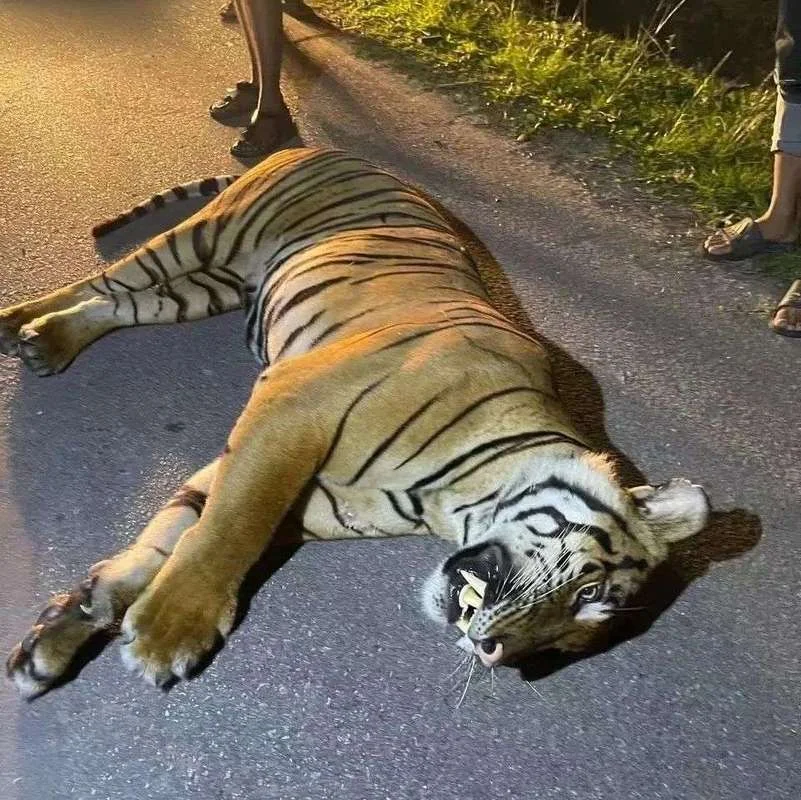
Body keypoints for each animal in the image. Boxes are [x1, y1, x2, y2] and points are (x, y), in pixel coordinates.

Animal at [2, 147, 710, 698]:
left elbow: (172, 538)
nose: (497, 655)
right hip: (207, 237)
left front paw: (58, 638)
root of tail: (328, 147)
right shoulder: (292, 410)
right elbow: (230, 529)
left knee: (122, 303)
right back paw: (18, 321)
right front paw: (169, 632)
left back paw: (48, 342)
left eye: (562, 645)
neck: (447, 501)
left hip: (210, 286)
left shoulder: (301, 503)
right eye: (588, 591)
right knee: (104, 279)